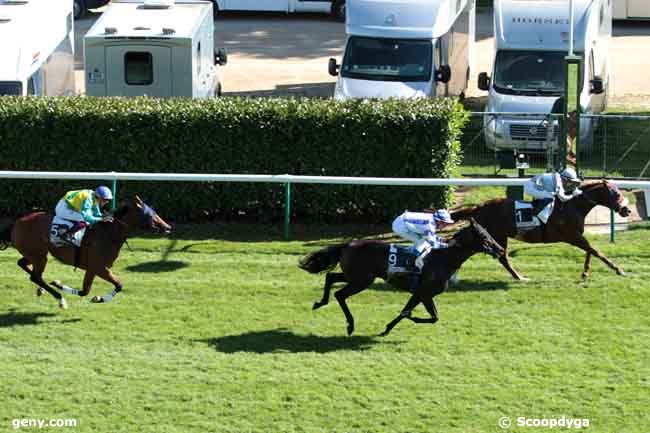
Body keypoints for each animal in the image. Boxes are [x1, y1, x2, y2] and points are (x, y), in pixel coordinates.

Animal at [0, 196, 172, 308]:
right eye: (150, 214)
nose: (168, 227)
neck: (108, 234)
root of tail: (17, 222)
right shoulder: (99, 267)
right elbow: (118, 285)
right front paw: (98, 298)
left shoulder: (92, 269)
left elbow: (86, 291)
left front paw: (61, 284)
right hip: (39, 255)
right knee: (35, 276)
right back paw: (60, 299)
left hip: (34, 254)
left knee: (25, 267)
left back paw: (42, 289)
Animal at [296, 218, 504, 336]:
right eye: (484, 236)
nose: (500, 249)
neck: (444, 258)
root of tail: (348, 244)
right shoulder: (422, 292)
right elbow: (410, 313)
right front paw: (396, 324)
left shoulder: (425, 295)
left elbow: (432, 316)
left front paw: (389, 327)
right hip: (362, 280)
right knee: (340, 294)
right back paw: (350, 325)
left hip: (356, 276)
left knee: (331, 276)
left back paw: (320, 302)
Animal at [450, 179, 628, 280]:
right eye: (617, 194)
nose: (627, 210)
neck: (573, 206)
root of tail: (478, 207)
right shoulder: (572, 236)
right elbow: (596, 251)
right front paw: (619, 270)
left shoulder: (577, 236)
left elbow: (590, 251)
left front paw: (585, 273)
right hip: (487, 236)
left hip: (498, 237)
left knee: (503, 257)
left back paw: (519, 277)